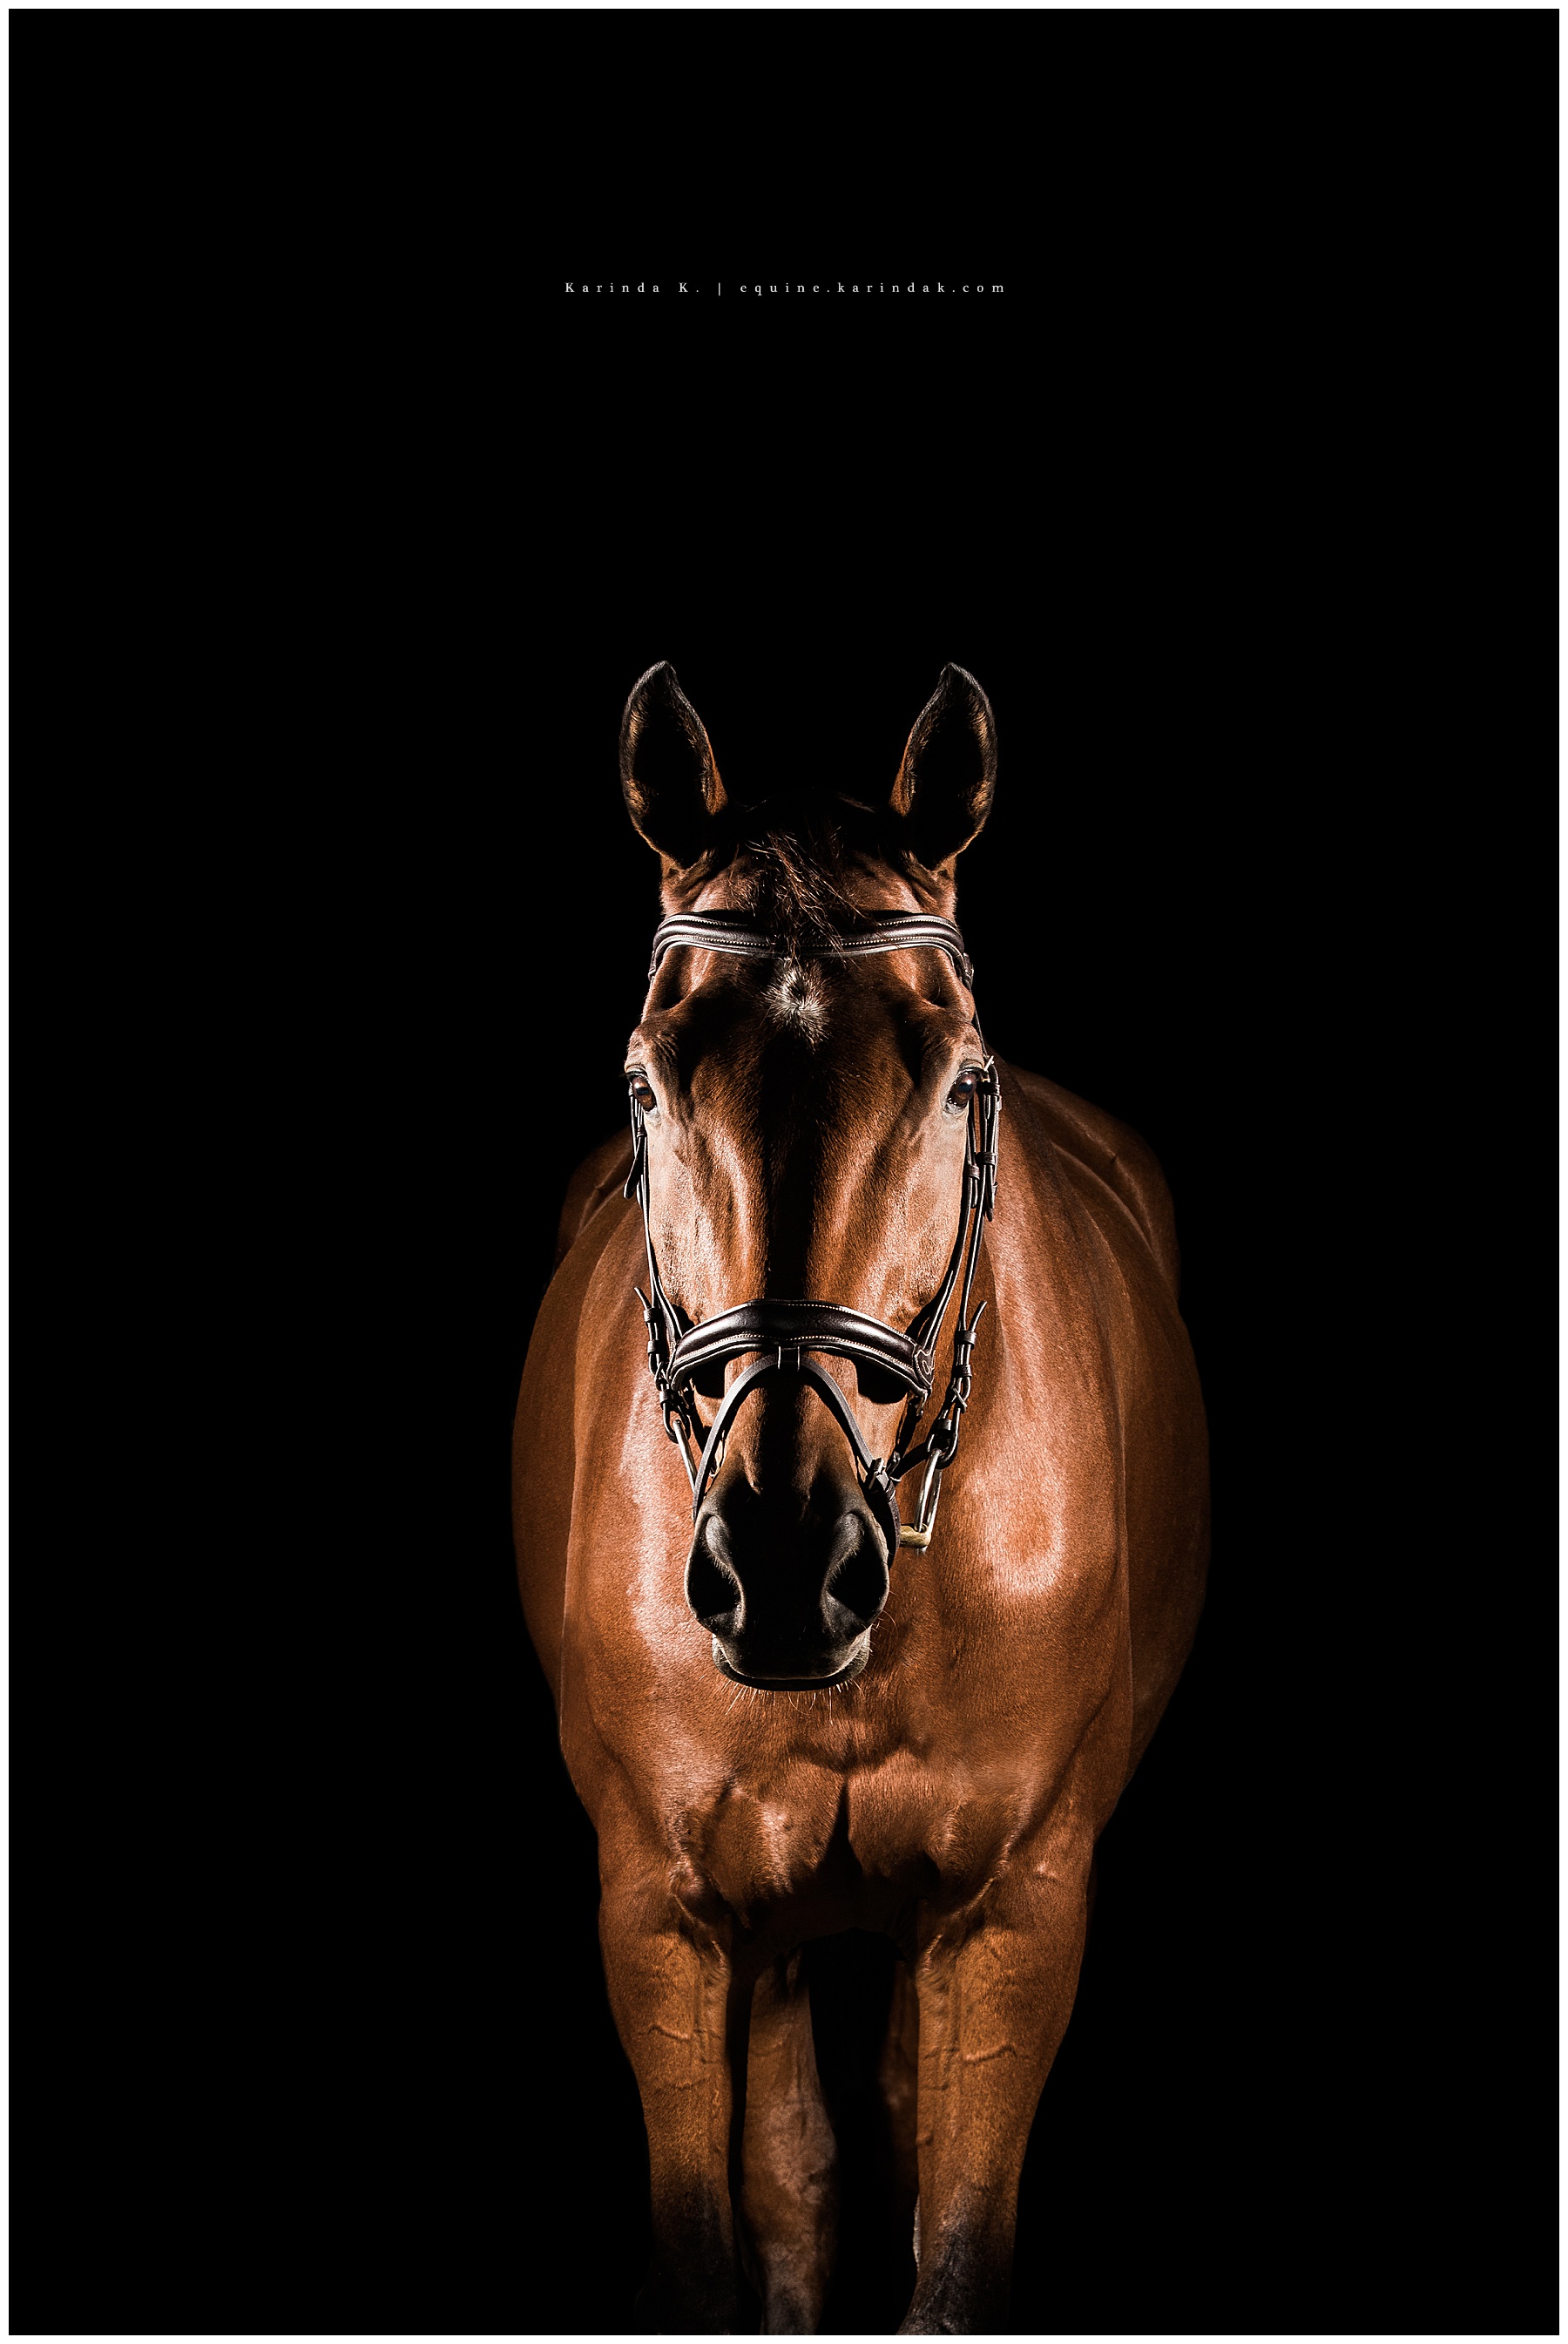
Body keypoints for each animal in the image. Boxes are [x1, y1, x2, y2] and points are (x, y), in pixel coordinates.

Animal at [512, 660, 1210, 2334]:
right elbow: (728, 2238)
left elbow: (949, 2257)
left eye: (961, 1079)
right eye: (645, 1082)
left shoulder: (1014, 1915)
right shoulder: (666, 1922)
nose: (782, 1564)